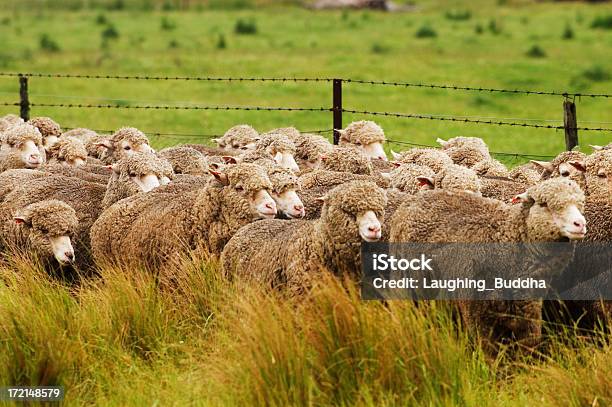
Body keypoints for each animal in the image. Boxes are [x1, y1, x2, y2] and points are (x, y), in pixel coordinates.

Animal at [392, 178, 588, 348]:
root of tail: (415, 199)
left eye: (580, 204)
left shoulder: (528, 308)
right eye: (544, 204)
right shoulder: (476, 312)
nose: (580, 224)